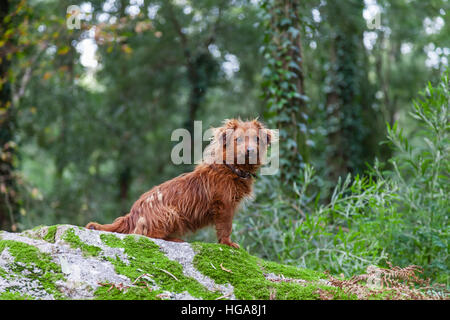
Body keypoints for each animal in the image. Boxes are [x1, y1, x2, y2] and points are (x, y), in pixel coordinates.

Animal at [84, 119, 274, 249]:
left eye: (257, 139)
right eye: (238, 140)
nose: (250, 151)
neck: (231, 168)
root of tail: (132, 215)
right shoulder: (224, 205)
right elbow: (225, 228)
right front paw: (228, 243)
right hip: (171, 213)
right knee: (150, 235)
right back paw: (175, 239)